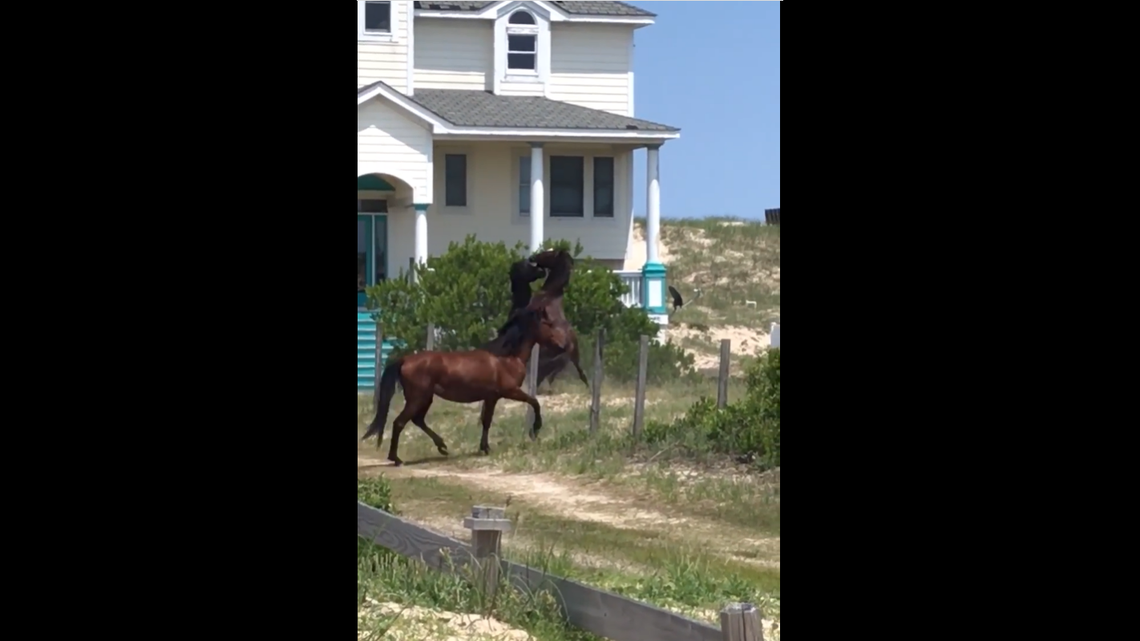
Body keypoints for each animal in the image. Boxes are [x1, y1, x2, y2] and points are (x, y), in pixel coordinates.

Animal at [361, 307, 562, 466]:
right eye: (548, 324)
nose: (561, 345)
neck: (505, 359)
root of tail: (404, 360)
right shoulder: (509, 392)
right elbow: (534, 402)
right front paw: (535, 430)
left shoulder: (491, 397)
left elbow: (486, 421)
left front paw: (484, 448)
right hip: (418, 398)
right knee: (400, 422)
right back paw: (396, 459)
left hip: (425, 398)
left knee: (418, 420)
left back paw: (442, 446)